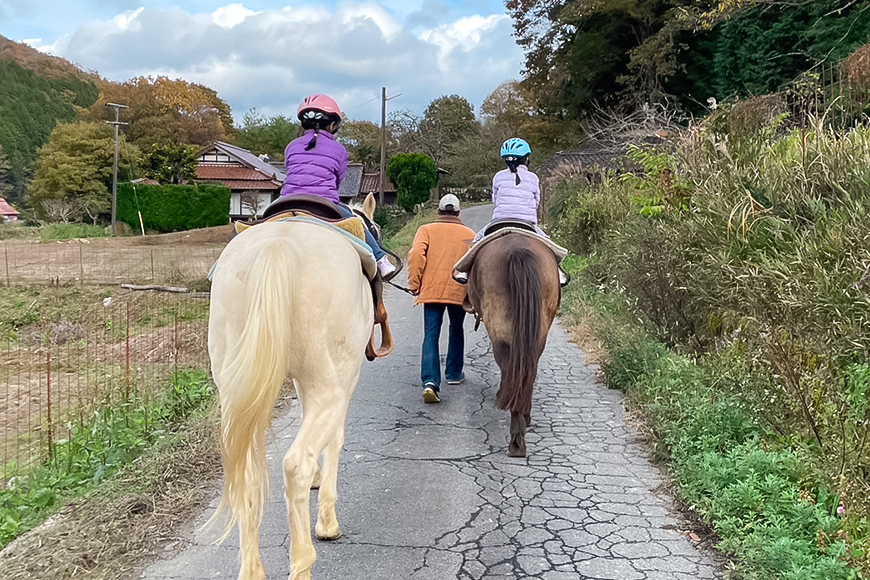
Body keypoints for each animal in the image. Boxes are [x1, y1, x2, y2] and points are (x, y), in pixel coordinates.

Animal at [207, 193, 387, 580]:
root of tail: (279, 246)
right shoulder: (342, 382)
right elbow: (335, 440)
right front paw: (328, 520)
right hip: (330, 386)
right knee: (295, 464)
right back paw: (304, 558)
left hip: (233, 392)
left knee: (246, 472)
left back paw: (252, 570)